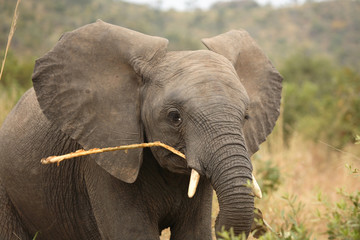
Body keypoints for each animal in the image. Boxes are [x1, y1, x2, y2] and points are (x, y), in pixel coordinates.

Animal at [0, 21, 282, 240]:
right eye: (175, 117)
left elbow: (195, 232)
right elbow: (133, 233)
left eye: (245, 117)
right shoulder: (104, 157)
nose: (259, 221)